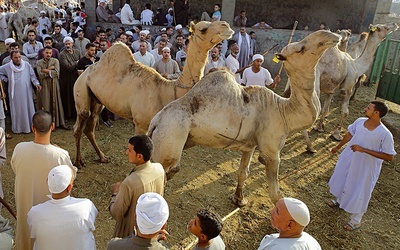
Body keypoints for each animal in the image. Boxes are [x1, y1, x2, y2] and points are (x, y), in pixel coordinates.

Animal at [73, 20, 233, 167]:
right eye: (203, 29)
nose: (226, 26)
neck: (166, 91)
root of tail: (86, 71)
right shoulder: (140, 123)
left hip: (97, 100)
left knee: (90, 127)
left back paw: (102, 157)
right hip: (81, 90)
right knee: (79, 125)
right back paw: (78, 162)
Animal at [147, 29, 340, 205]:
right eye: (301, 48)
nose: (332, 36)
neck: (283, 111)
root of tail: (155, 123)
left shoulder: (250, 145)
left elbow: (243, 173)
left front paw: (239, 199)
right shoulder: (272, 151)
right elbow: (275, 194)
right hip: (170, 138)